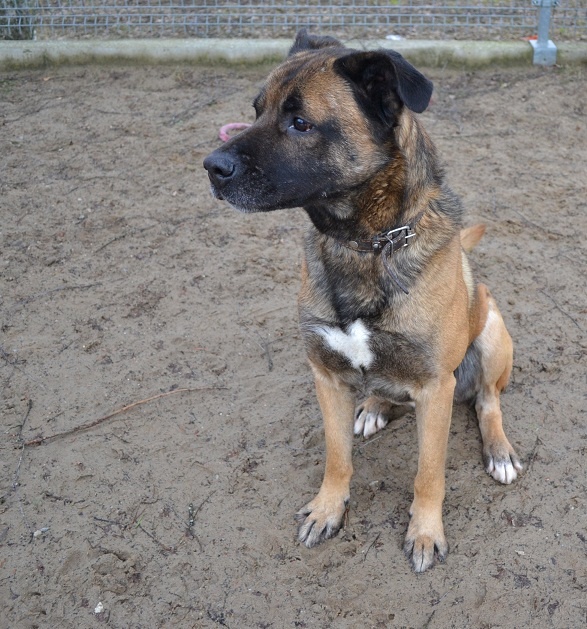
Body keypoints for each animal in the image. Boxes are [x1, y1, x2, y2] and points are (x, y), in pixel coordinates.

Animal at [203, 29, 522, 572]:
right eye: (257, 110)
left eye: (301, 122)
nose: (211, 166)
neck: (364, 246)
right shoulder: (327, 376)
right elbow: (336, 458)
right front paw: (327, 510)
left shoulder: (434, 389)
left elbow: (428, 473)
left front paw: (425, 532)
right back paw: (374, 405)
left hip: (492, 333)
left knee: (487, 401)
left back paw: (498, 449)